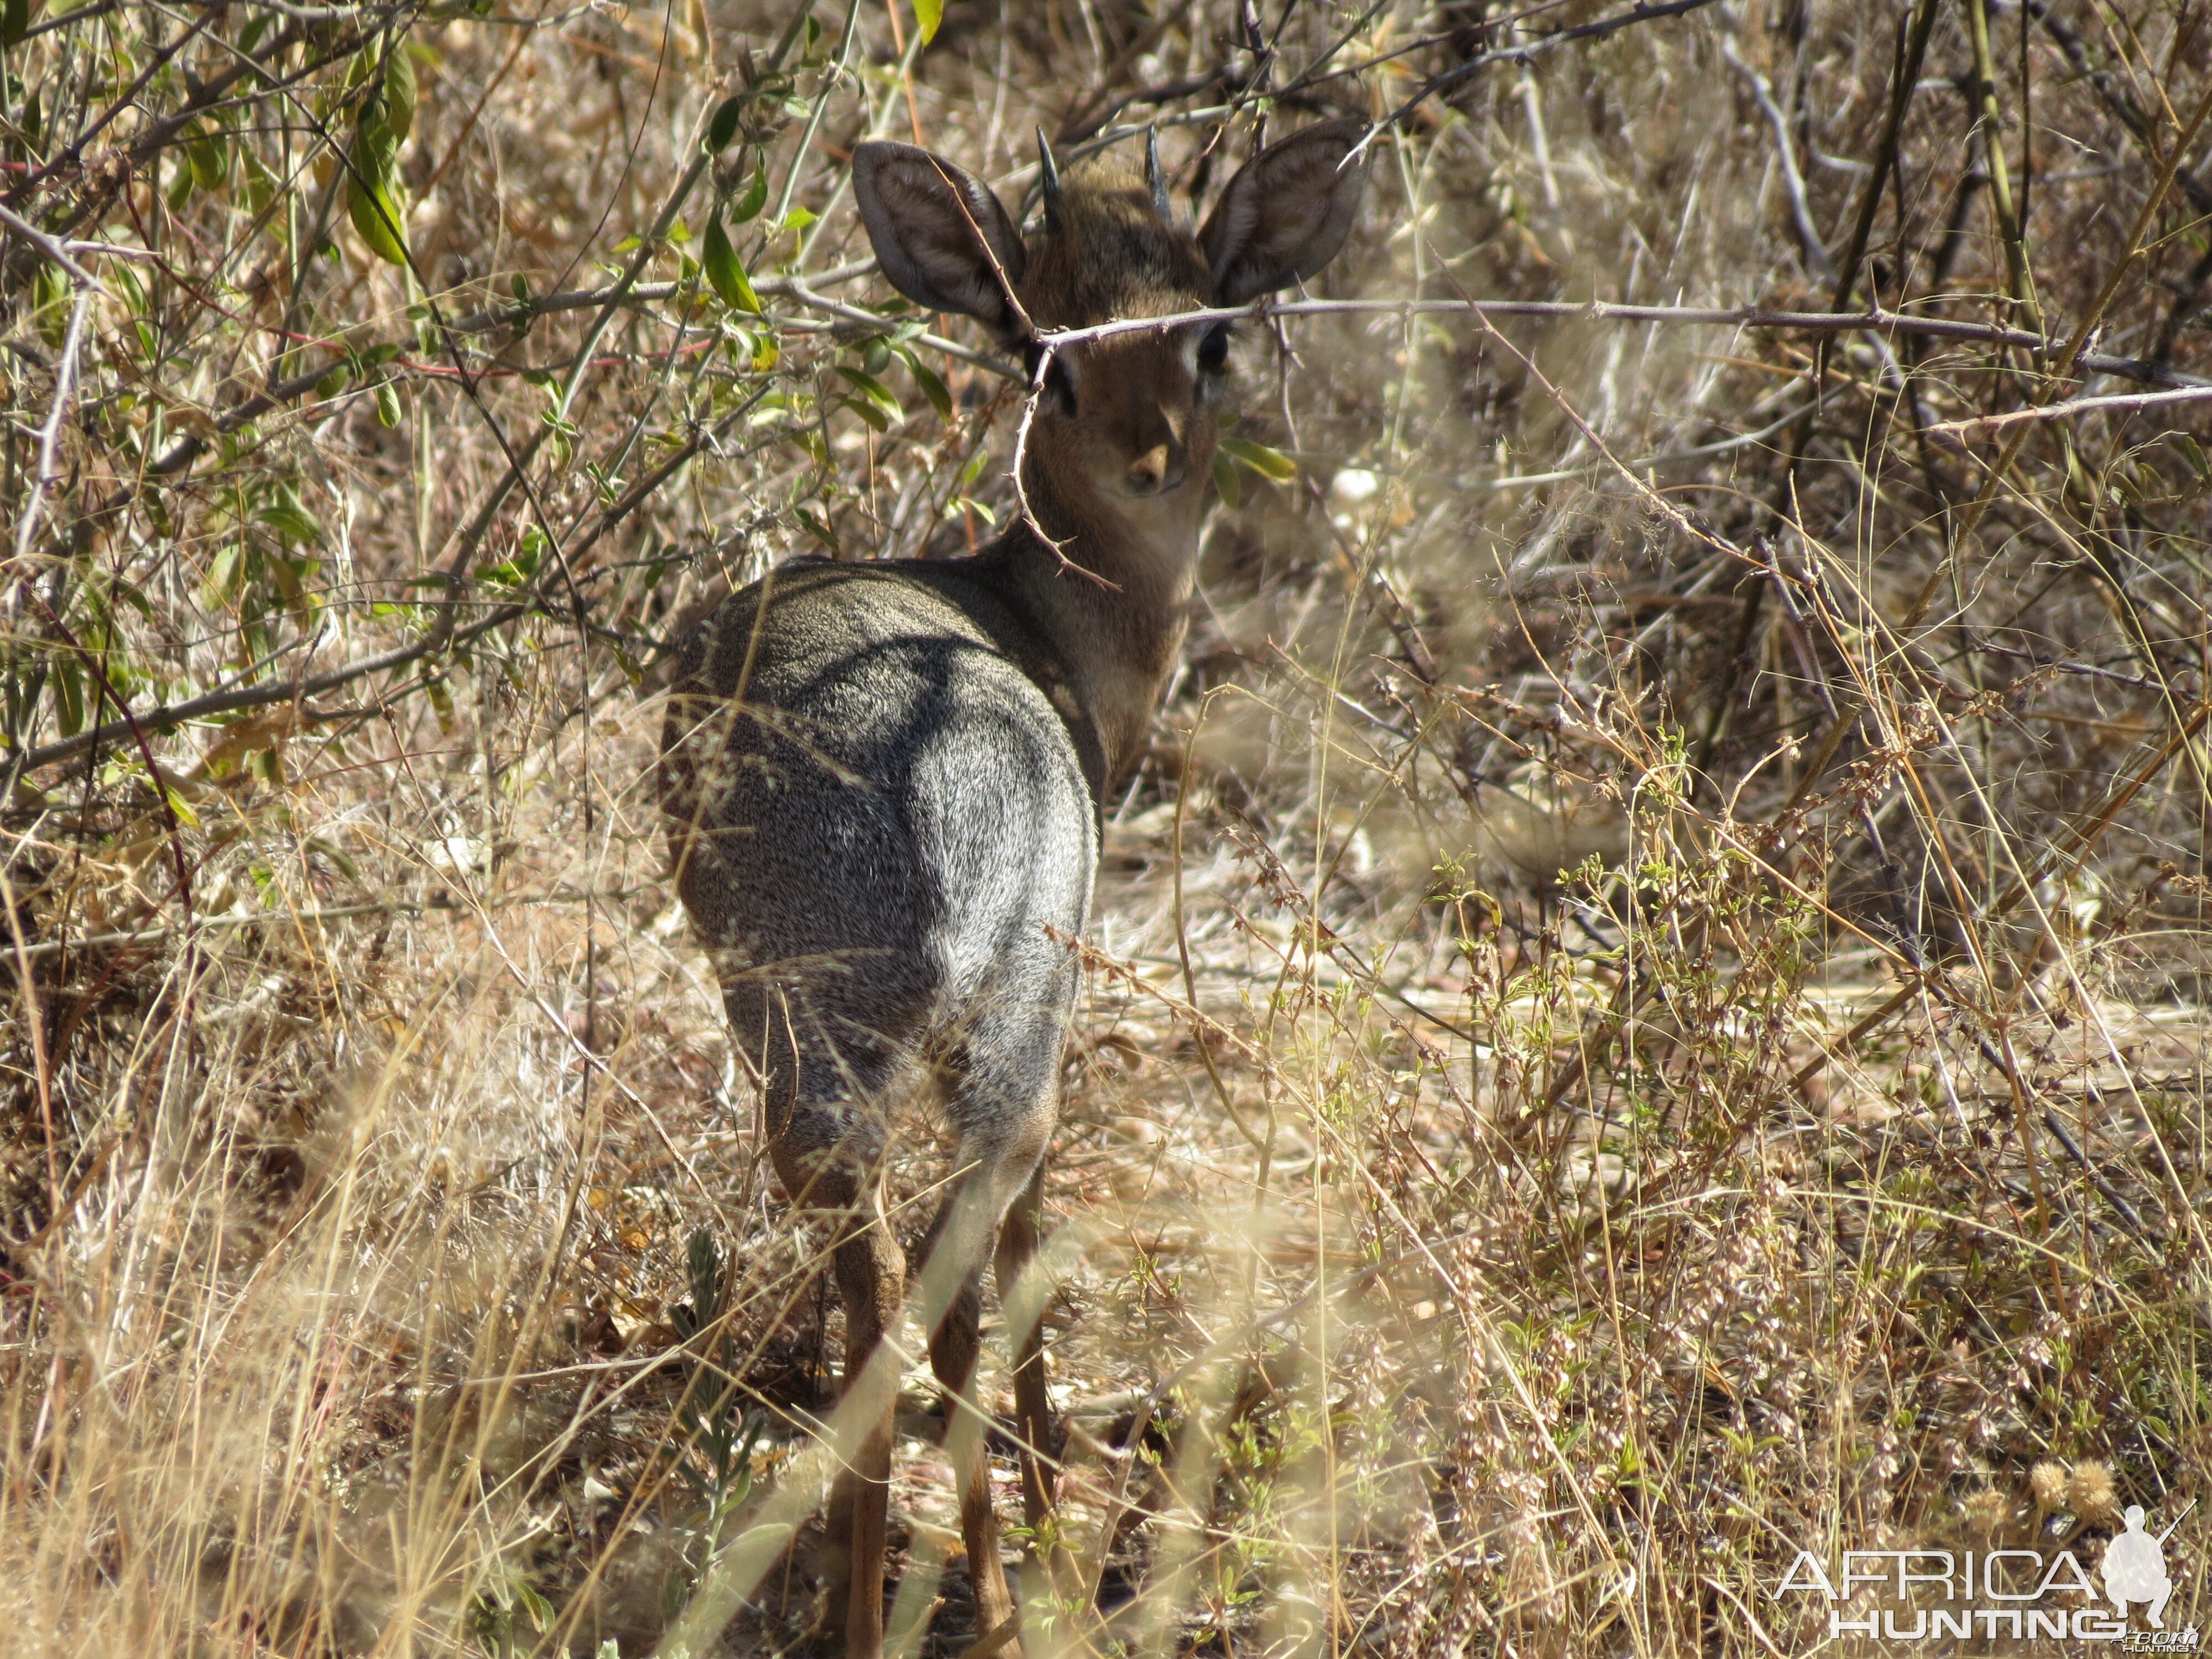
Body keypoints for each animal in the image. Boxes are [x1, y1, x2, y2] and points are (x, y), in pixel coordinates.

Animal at [655, 120, 1363, 1659]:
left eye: (1209, 333)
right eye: (1049, 353)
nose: (1150, 457)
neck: (1048, 624)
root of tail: (917, 801)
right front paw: (1049, 1506)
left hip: (805, 1066)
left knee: (871, 1287)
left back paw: (860, 1608)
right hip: (1004, 1047)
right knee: (958, 1275)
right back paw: (995, 1590)